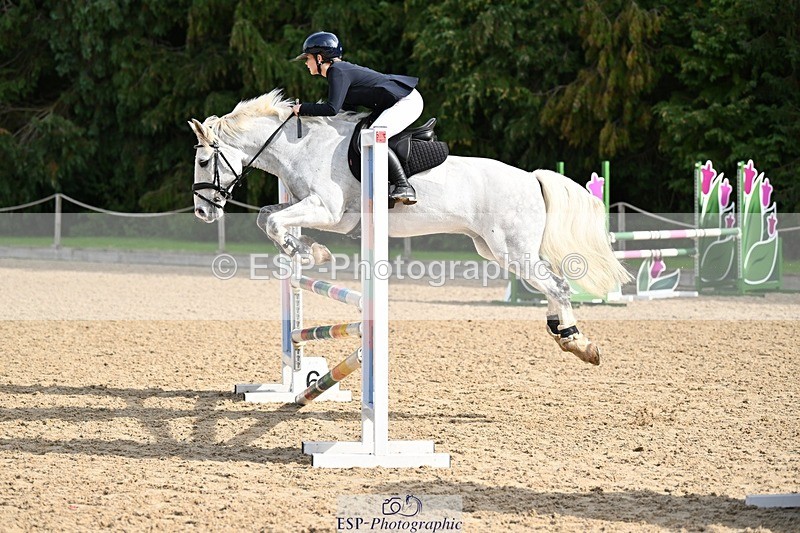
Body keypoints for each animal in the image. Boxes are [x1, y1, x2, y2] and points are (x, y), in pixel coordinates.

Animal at [189, 89, 631, 365]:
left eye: (204, 161)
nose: (203, 214)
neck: (300, 146)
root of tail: (531, 178)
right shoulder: (314, 209)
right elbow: (267, 216)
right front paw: (308, 250)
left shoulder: (328, 210)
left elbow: (275, 220)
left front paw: (310, 251)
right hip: (496, 250)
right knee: (551, 287)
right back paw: (562, 333)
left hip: (512, 250)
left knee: (557, 285)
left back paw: (578, 343)